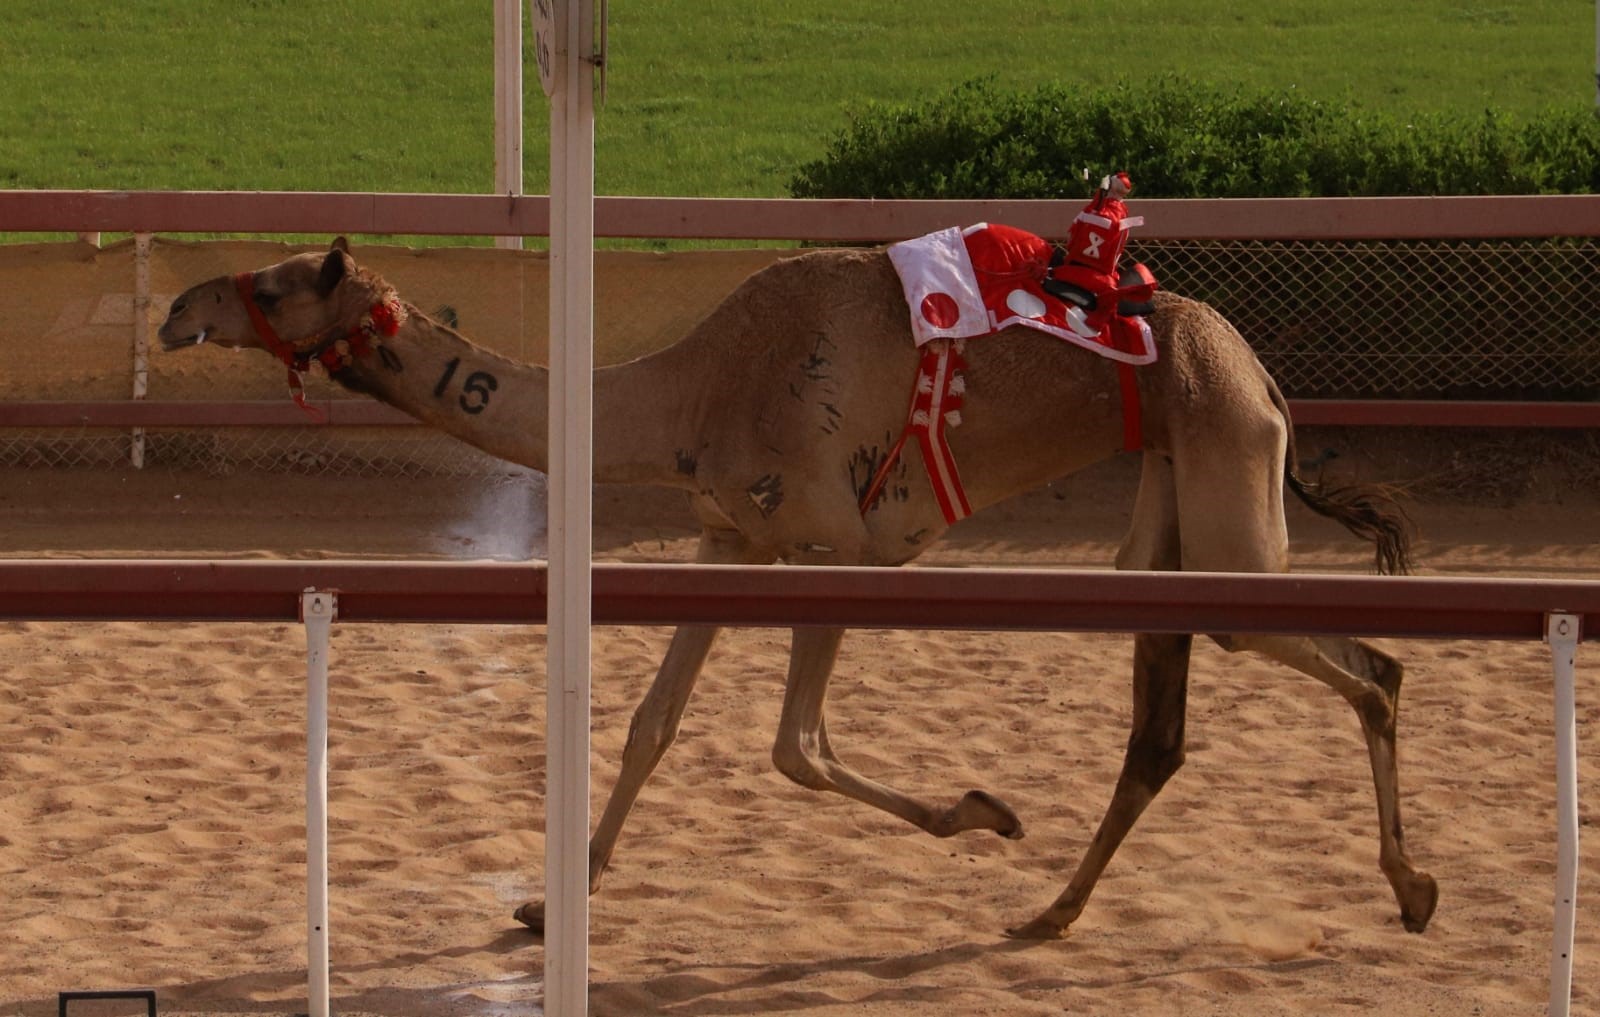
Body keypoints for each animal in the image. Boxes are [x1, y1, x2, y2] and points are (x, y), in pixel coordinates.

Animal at [159, 236, 1440, 940]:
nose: (177, 309)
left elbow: (794, 745)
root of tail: (1260, 369)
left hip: (1223, 463)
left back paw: (1413, 885)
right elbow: (652, 721)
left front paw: (981, 812)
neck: (687, 396)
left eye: (282, 283)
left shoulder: (842, 546)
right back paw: (1053, 915)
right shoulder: (734, 541)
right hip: (1176, 480)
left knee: (1361, 662)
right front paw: (546, 908)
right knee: (1165, 723)